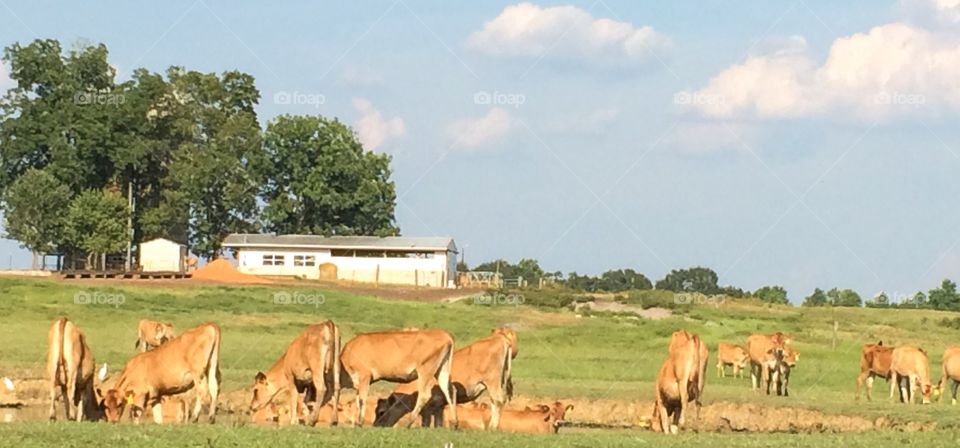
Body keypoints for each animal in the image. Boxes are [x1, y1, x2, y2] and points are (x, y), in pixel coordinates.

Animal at [374, 328, 516, 428]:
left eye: (381, 412)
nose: (376, 425)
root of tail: (499, 338)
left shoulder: (428, 409)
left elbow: (426, 424)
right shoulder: (439, 407)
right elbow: (438, 423)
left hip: (492, 381)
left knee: (498, 400)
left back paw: (492, 427)